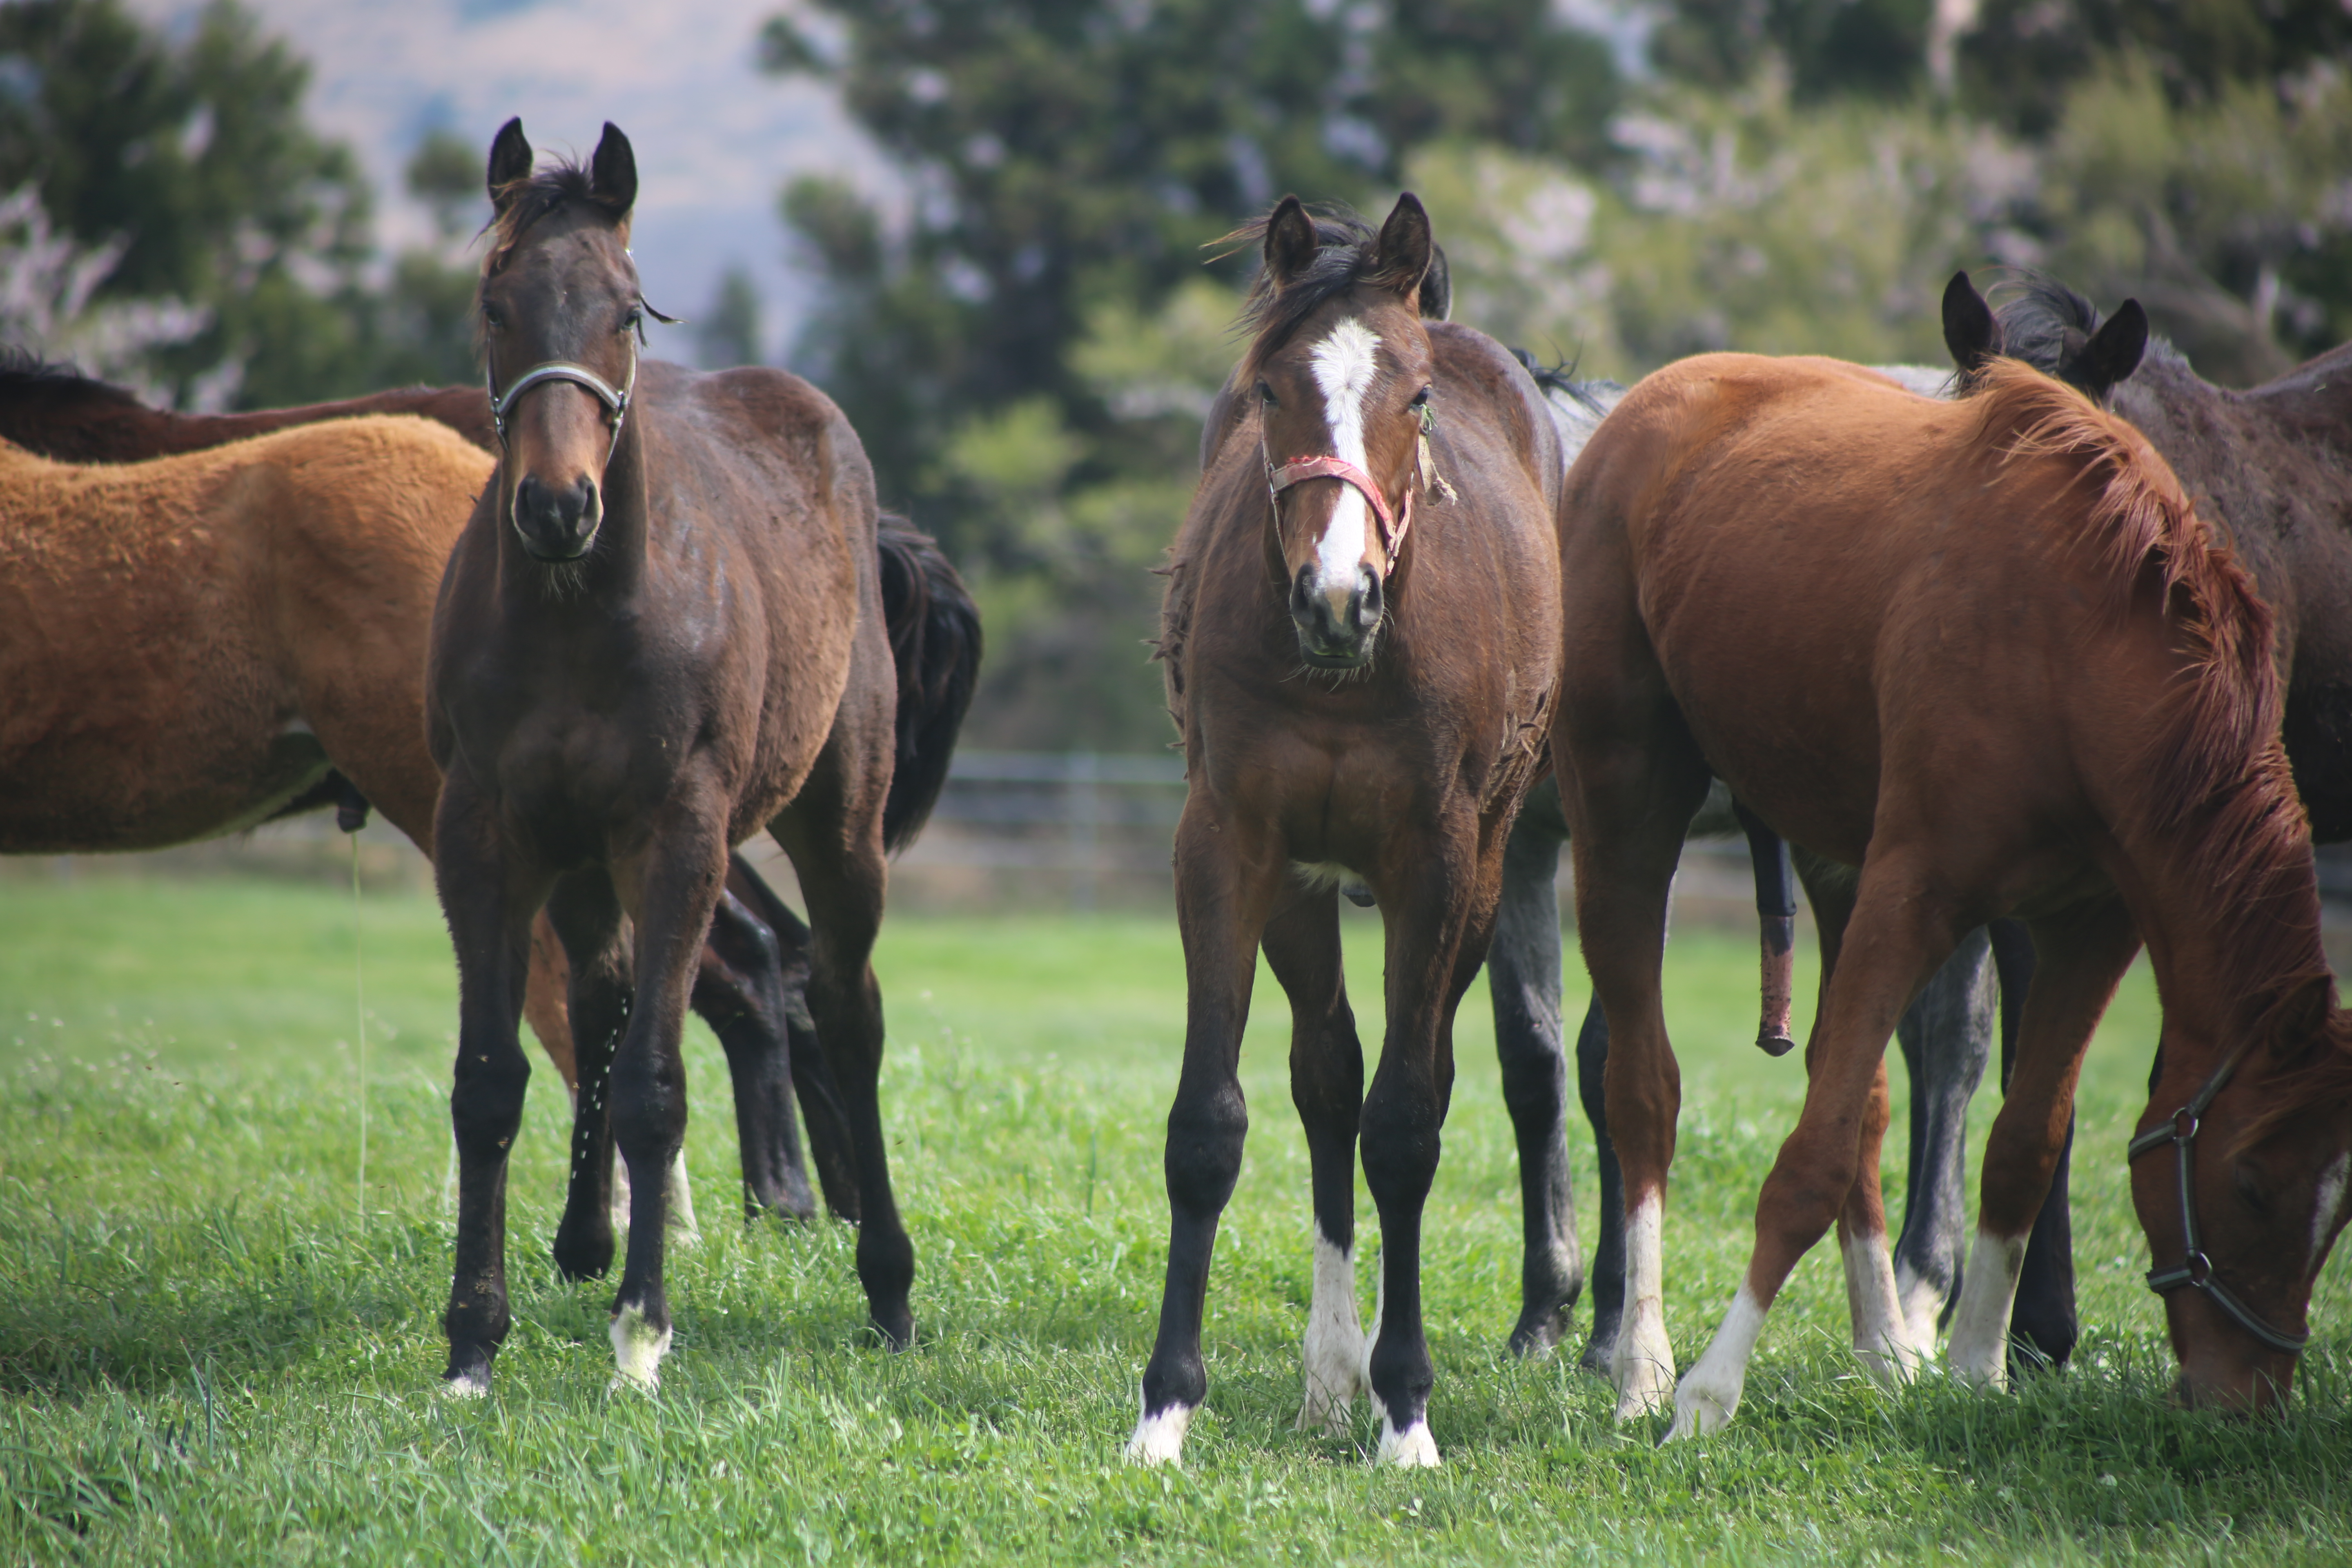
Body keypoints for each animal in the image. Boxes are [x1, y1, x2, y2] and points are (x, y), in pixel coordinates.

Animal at [432, 122, 917, 1392]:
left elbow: (659, 1082)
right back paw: (581, 1240)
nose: (558, 507)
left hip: (837, 827)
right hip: (583, 857)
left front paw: (642, 1335)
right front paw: (472, 1339)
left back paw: (889, 1287)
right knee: (599, 999)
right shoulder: (485, 834)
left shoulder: (679, 837)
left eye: (625, 309)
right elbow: (490, 1080)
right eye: (495, 303)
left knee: (845, 1007)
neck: (579, 613)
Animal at [1134, 196, 1561, 1476]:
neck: (1341, 672)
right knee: (1326, 1078)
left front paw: (1408, 1410)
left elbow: (1408, 1128)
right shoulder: (1231, 850)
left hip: (1481, 884)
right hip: (1302, 891)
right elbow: (1212, 1123)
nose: (1338, 595)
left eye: (1413, 398)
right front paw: (1165, 1407)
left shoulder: (1437, 863)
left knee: (1411, 1083)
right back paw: (1331, 1374)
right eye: (1270, 389)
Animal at [1561, 350, 2352, 1439]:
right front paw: (1708, 1393)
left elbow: (2022, 1141)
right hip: (1627, 816)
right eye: (2251, 1182)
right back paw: (1641, 1360)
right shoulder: (1916, 891)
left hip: (1833, 858)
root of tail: (1644, 400)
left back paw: (1884, 1348)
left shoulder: (2089, 925)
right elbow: (1803, 1164)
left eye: (2338, 1208)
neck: (2080, 646)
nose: (2247, 1400)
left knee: (1856, 1094)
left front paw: (1977, 1368)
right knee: (1643, 1085)